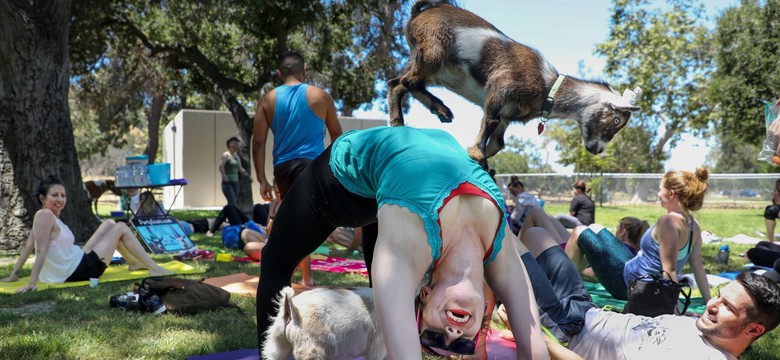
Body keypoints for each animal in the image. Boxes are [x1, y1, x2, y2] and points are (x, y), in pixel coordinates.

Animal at [386, 0, 644, 169]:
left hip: (433, 69)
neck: (548, 87)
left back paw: (401, 121)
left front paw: (480, 160)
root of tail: (418, 14)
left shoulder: (508, 115)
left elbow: (498, 142)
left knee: (397, 83)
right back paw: (440, 110)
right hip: (433, 52)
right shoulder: (500, 88)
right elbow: (489, 122)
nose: (598, 150)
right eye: (617, 119)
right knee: (409, 81)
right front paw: (477, 153)